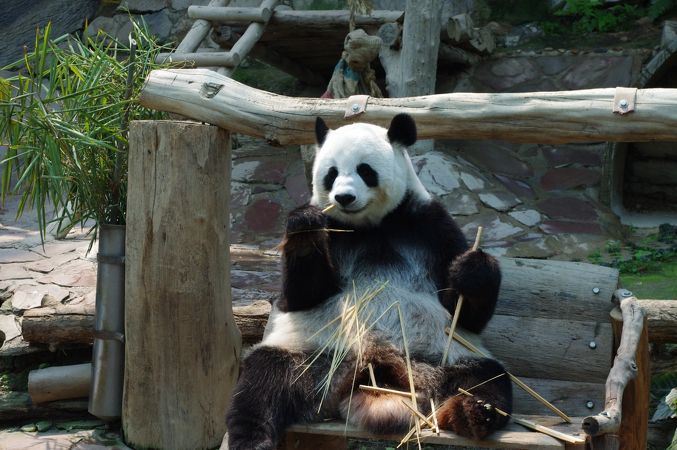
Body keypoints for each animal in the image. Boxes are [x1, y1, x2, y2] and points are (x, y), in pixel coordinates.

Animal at [224, 113, 510, 450]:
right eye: (331, 174)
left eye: (365, 170)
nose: (344, 197)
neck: (369, 227)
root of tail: (375, 370)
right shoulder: (333, 231)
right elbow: (301, 296)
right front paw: (305, 228)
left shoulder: (430, 225)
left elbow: (465, 316)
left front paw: (471, 269)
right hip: (311, 355)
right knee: (261, 383)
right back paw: (251, 439)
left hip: (441, 356)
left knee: (485, 378)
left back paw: (473, 411)